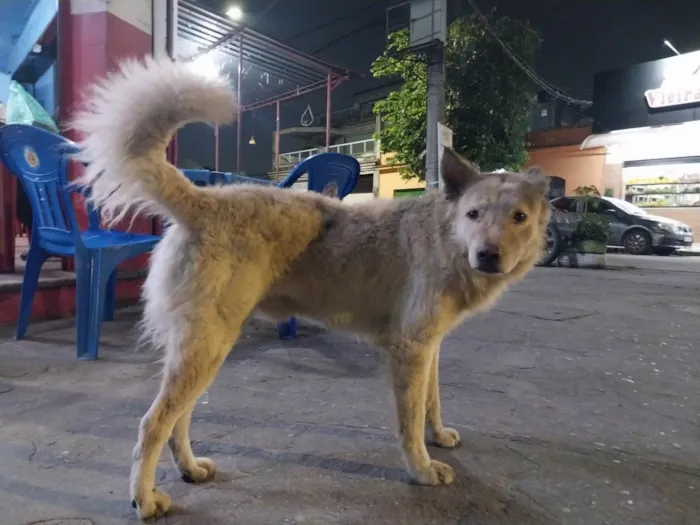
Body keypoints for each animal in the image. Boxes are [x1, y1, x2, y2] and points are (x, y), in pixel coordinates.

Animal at [71, 58, 552, 520]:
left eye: (519, 218)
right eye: (474, 214)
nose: (488, 256)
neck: (443, 237)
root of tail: (203, 199)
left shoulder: (429, 346)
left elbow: (432, 402)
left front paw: (437, 437)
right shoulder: (410, 350)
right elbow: (410, 422)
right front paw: (421, 468)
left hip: (205, 350)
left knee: (179, 419)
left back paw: (189, 468)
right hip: (207, 347)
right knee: (153, 424)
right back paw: (144, 500)